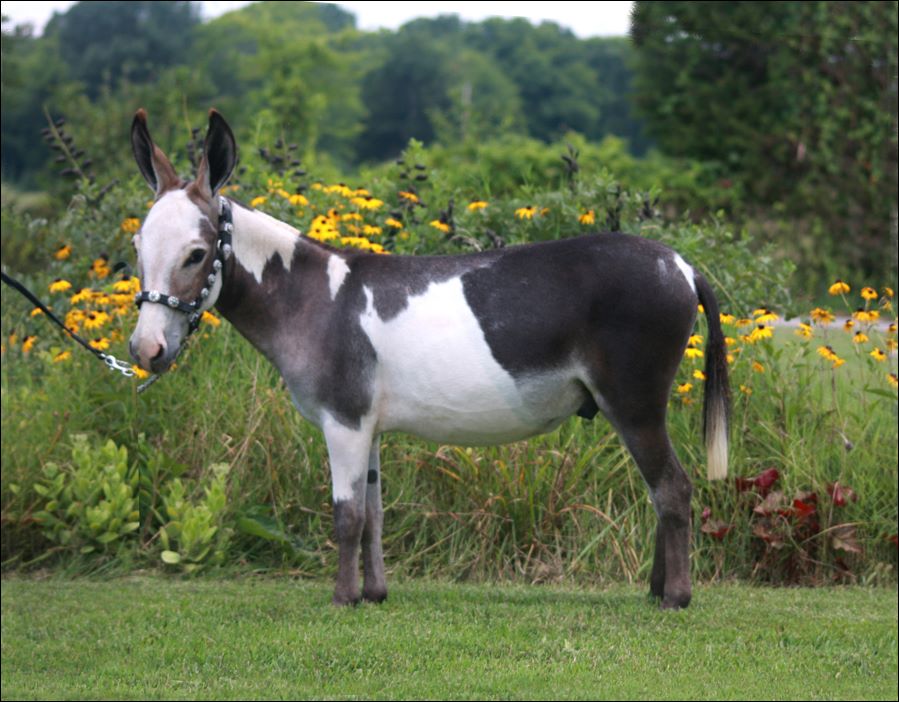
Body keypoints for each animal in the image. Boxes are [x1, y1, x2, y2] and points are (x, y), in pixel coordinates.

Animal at [128, 109, 729, 610]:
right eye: (137, 249)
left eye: (196, 255)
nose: (143, 350)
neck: (311, 297)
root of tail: (680, 263)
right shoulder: (367, 426)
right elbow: (373, 515)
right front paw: (374, 594)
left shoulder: (343, 422)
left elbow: (346, 515)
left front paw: (342, 599)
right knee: (659, 491)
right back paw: (655, 591)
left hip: (635, 404)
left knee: (672, 489)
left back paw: (675, 598)